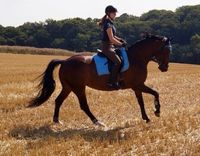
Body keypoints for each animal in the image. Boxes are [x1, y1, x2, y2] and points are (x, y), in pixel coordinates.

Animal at [28, 34, 172, 127]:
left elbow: (142, 101)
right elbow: (155, 93)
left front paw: (147, 118)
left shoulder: (137, 87)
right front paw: (157, 111)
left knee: (58, 100)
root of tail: (65, 61)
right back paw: (98, 122)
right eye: (166, 50)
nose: (165, 68)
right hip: (78, 87)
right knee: (84, 105)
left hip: (68, 87)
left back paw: (57, 121)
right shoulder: (138, 85)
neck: (136, 58)